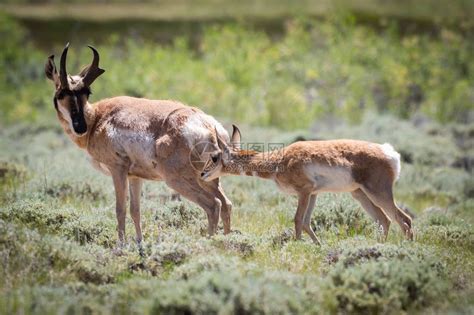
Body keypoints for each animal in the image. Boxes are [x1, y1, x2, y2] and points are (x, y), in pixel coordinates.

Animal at [45, 43, 234, 247]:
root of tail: (209, 126)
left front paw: (120, 246)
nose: (80, 127)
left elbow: (120, 209)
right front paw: (139, 243)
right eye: (61, 93)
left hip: (178, 180)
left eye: (87, 92)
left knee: (213, 205)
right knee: (226, 204)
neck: (98, 118)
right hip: (208, 179)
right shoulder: (135, 177)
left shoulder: (118, 170)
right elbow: (135, 210)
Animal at [202, 126, 412, 244]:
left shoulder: (303, 192)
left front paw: (297, 247)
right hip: (360, 194)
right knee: (384, 220)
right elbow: (306, 222)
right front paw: (317, 246)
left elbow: (297, 220)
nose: (202, 174)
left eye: (215, 157)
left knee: (404, 219)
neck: (280, 160)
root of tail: (388, 152)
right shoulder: (313, 194)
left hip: (378, 193)